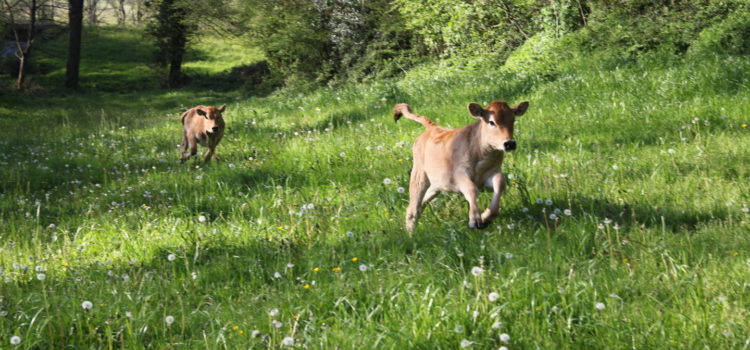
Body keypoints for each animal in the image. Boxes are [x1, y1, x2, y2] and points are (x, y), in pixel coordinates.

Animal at [396, 100, 532, 231]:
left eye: (513, 119)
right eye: (491, 122)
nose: (509, 143)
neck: (481, 152)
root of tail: (434, 128)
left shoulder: (492, 173)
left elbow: (500, 184)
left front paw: (485, 217)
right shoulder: (458, 174)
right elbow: (472, 189)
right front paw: (474, 220)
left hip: (437, 184)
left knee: (422, 202)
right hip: (419, 175)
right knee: (412, 208)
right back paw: (411, 234)